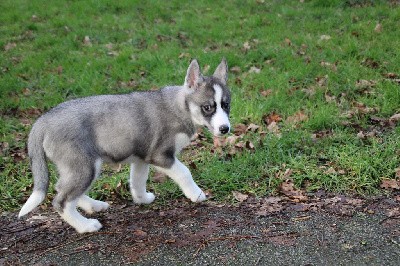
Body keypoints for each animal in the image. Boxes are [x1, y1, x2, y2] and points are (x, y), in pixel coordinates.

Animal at [18, 58, 231, 233]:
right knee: (61, 200)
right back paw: (86, 225)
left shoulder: (142, 158)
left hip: (78, 167)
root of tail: (42, 121)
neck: (181, 108)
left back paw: (94, 206)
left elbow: (137, 181)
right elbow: (185, 172)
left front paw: (142, 199)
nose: (225, 129)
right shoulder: (161, 155)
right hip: (85, 166)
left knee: (63, 189)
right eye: (208, 107)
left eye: (226, 105)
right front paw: (197, 194)